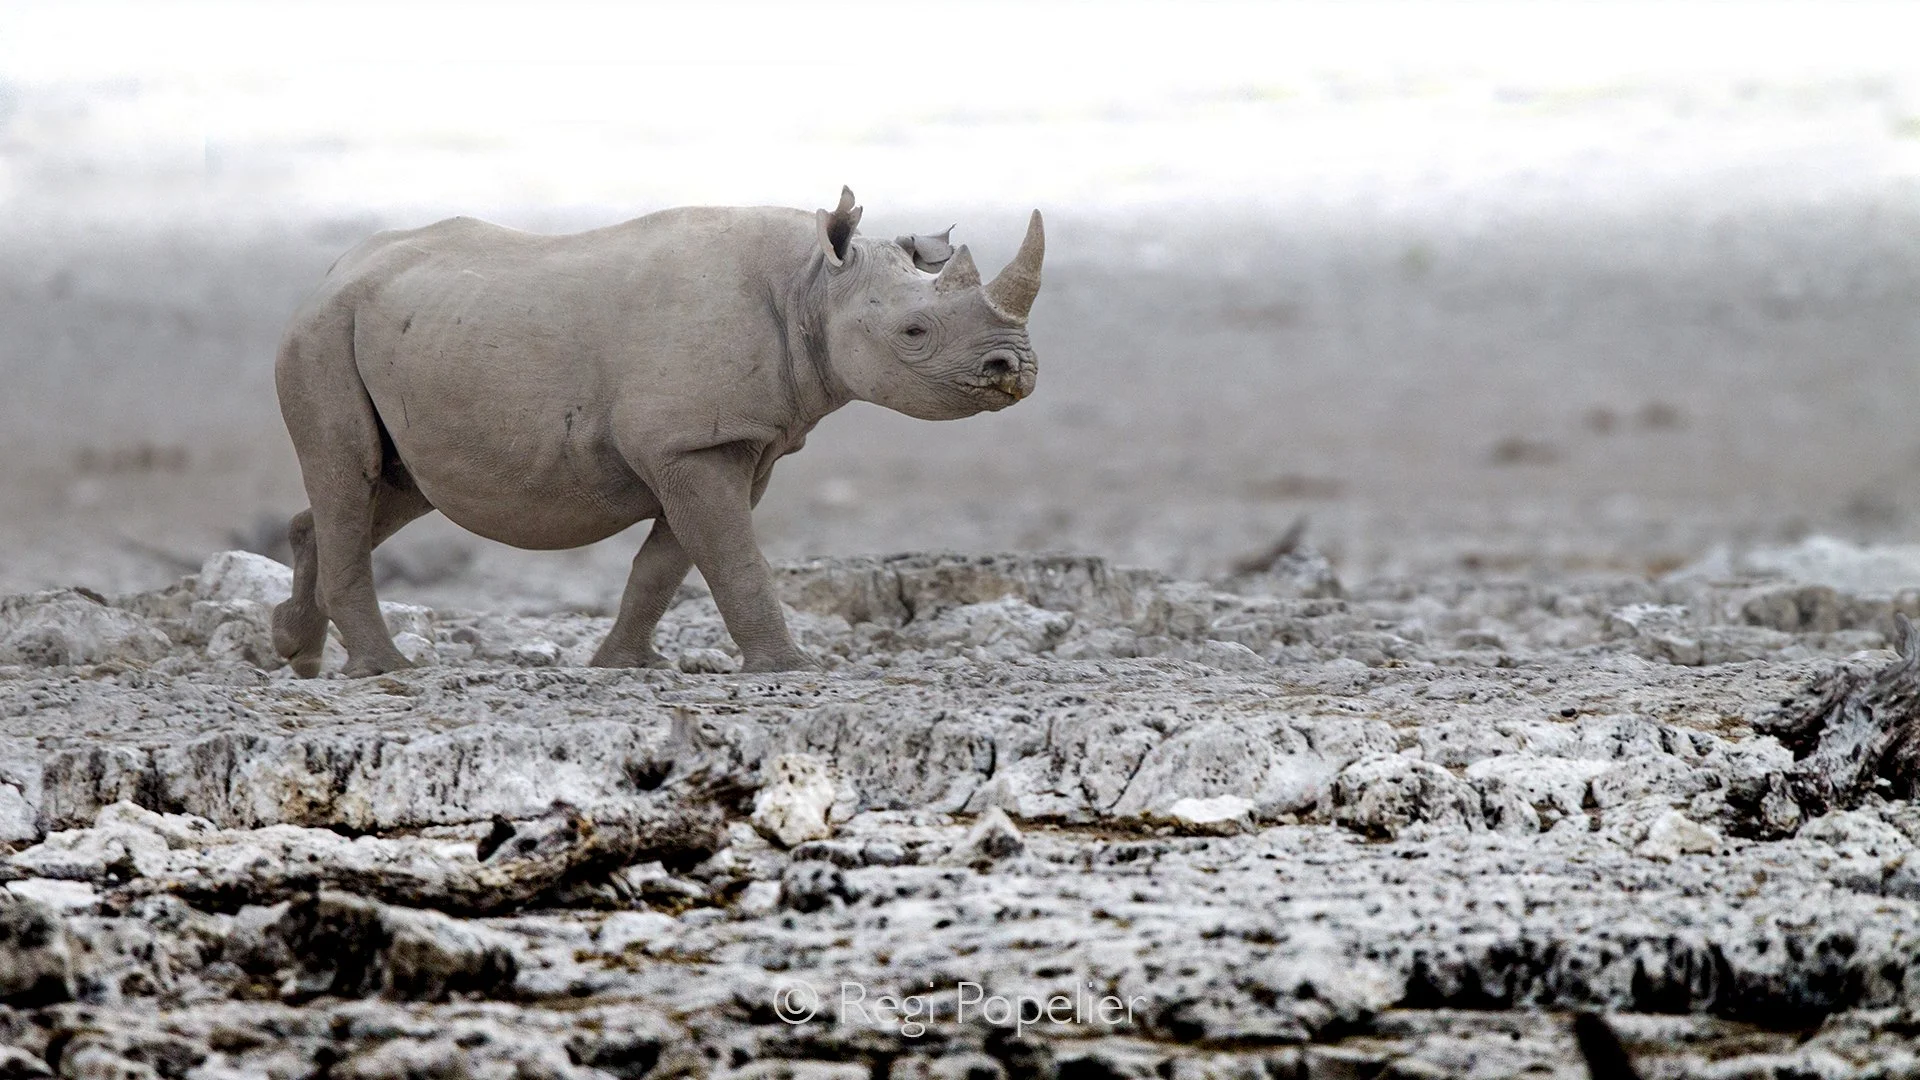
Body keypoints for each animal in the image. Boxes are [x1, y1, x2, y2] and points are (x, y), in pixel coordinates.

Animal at [271, 188, 1044, 676]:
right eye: (914, 333)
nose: (1019, 369)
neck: (812, 286)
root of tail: (328, 277)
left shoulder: (728, 445)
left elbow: (668, 563)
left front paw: (624, 665)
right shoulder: (695, 442)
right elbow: (732, 557)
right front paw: (793, 669)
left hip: (399, 334)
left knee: (397, 488)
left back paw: (295, 652)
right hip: (321, 337)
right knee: (350, 475)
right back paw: (383, 670)